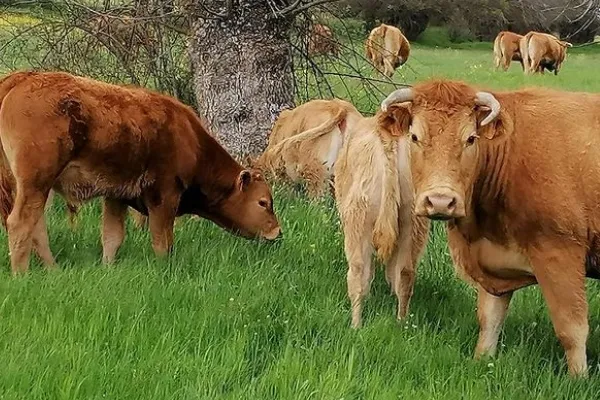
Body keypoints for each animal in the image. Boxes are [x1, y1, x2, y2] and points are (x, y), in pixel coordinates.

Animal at [0, 70, 282, 274]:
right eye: (263, 202)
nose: (277, 233)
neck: (188, 138)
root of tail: (21, 78)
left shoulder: (116, 196)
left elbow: (112, 237)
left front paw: (108, 269)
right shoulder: (164, 195)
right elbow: (162, 241)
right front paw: (163, 269)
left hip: (38, 187)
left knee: (36, 225)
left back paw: (53, 270)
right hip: (36, 181)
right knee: (20, 223)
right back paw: (22, 276)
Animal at [336, 104, 428, 330]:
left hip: (359, 219)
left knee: (358, 270)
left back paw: (356, 326)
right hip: (412, 221)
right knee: (405, 272)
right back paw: (401, 324)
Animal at [380, 79, 600, 376]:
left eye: (471, 138)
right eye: (414, 137)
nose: (441, 201)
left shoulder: (560, 253)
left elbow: (572, 330)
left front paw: (578, 379)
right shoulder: (492, 260)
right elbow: (489, 320)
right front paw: (482, 362)